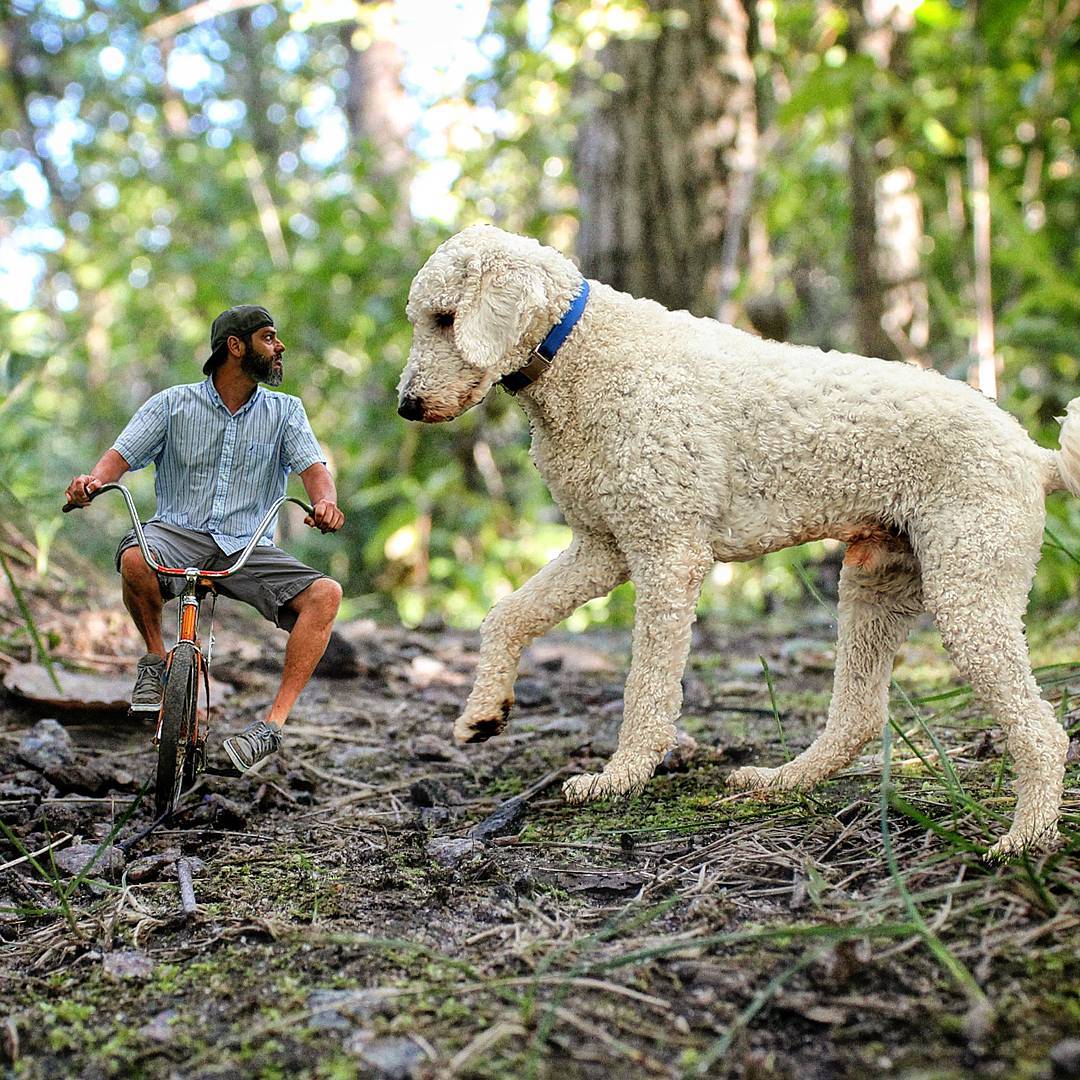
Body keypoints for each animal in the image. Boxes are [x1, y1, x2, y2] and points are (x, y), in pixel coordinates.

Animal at [399, 223, 1080, 855]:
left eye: (445, 319)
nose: (406, 406)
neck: (584, 352)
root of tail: (1034, 456)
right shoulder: (601, 546)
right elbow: (507, 615)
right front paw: (483, 714)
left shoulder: (667, 553)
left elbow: (647, 688)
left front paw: (619, 779)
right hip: (879, 580)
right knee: (859, 716)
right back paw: (779, 783)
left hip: (968, 585)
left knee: (1042, 731)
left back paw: (1024, 839)